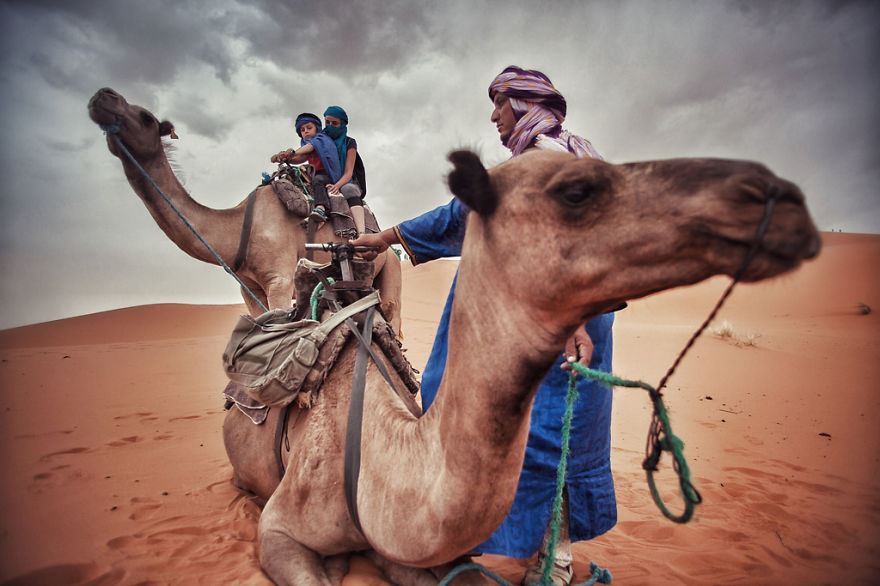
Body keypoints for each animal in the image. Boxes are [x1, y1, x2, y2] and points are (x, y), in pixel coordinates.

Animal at [87, 87, 401, 329]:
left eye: (146, 118)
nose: (104, 95)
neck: (239, 227)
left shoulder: (279, 279)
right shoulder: (248, 287)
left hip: (391, 270)